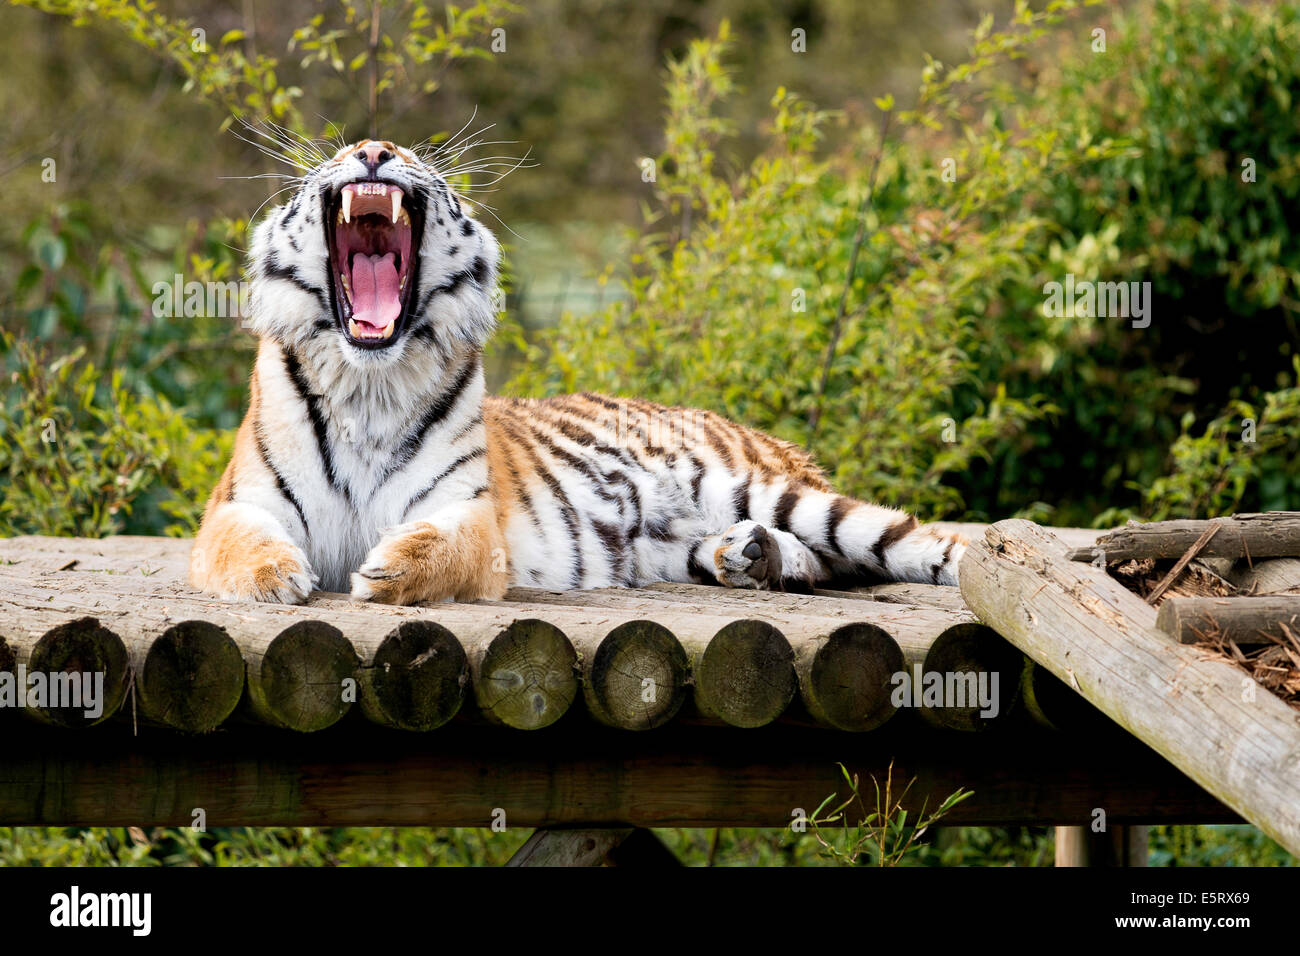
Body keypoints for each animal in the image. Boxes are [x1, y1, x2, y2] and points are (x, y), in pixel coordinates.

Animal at [189, 136, 967, 606]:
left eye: (409, 153)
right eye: (345, 150)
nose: (374, 150)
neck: (370, 380)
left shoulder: (469, 511)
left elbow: (444, 545)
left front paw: (389, 569)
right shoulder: (237, 503)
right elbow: (240, 541)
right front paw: (275, 576)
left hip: (767, 489)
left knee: (896, 543)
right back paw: (747, 556)